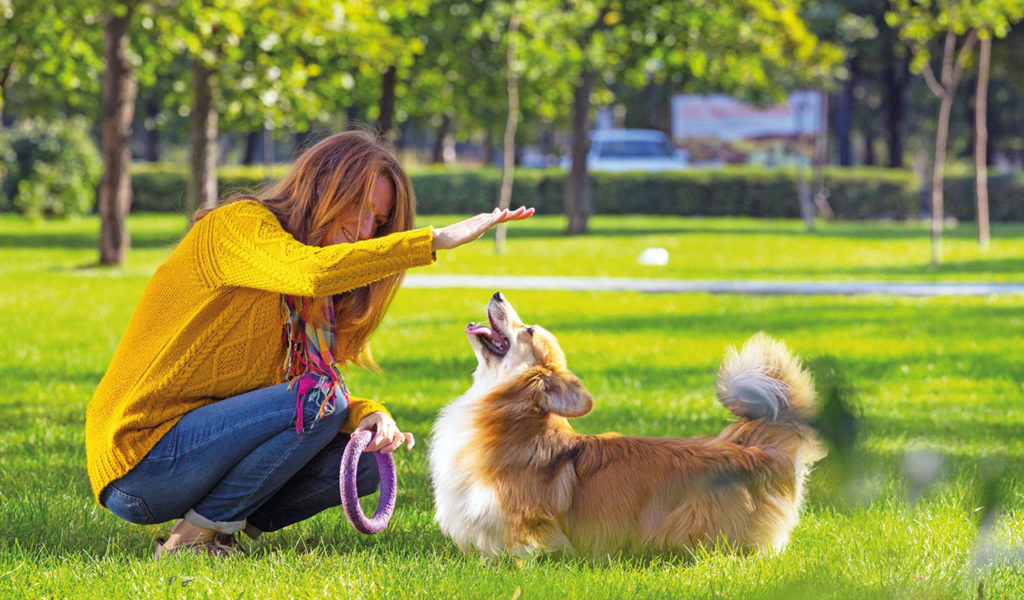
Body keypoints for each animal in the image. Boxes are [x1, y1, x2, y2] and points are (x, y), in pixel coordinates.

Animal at [428, 292, 827, 556]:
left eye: (527, 330)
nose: (497, 293)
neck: (505, 410)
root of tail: (757, 452)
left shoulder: (527, 521)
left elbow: (526, 550)